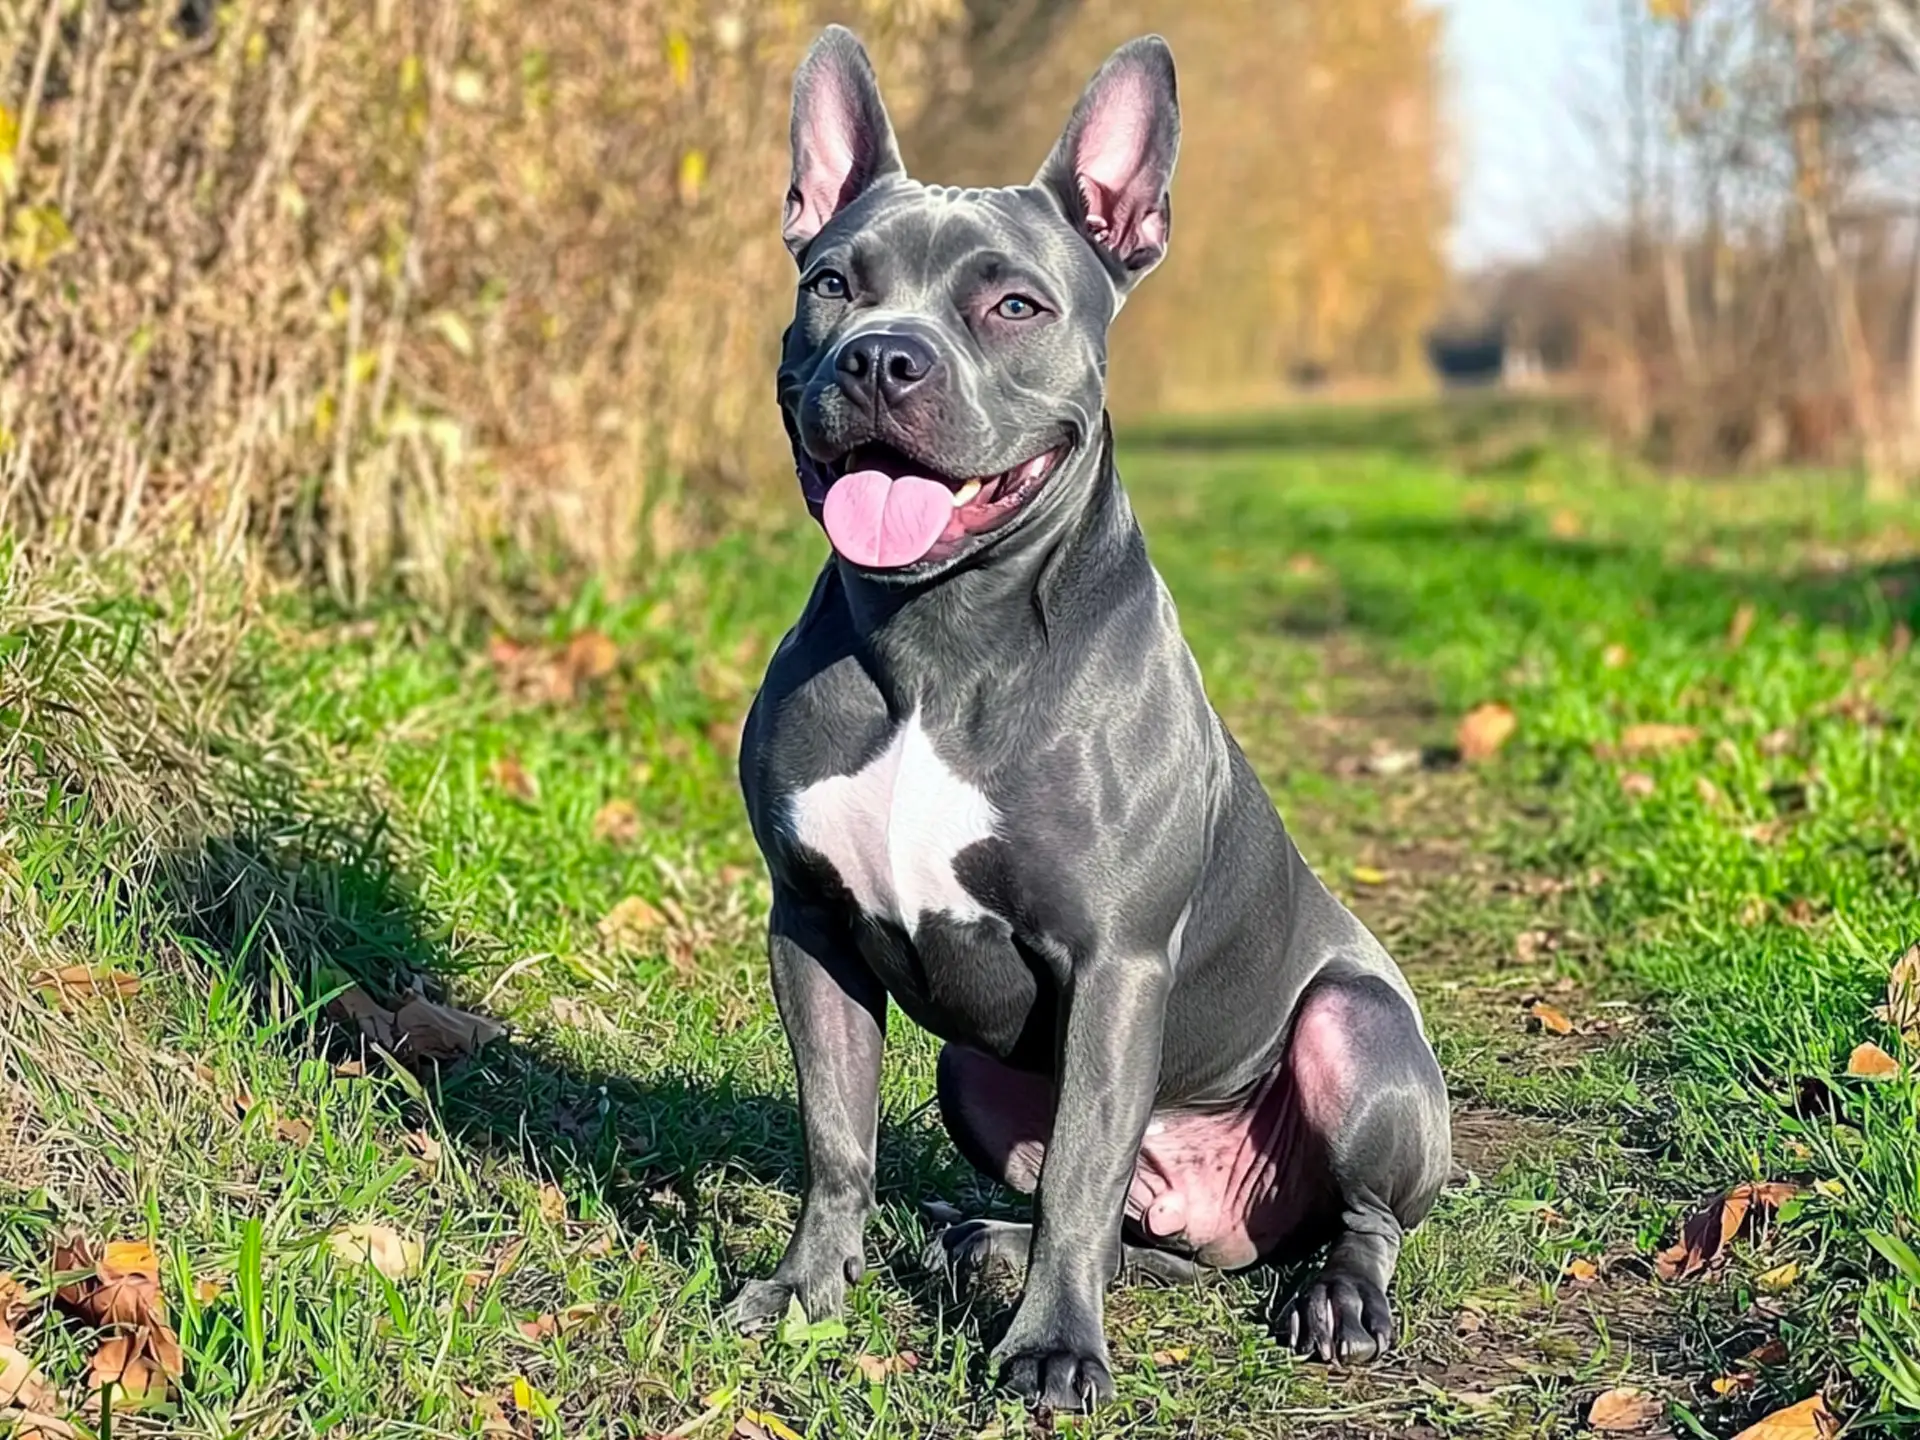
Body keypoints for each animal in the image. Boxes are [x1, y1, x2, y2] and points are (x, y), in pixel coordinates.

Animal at [725, 25, 1443, 1420]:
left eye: (1013, 306)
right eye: (834, 283)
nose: (880, 356)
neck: (940, 639)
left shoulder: (1116, 963)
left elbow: (1078, 1171)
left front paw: (1054, 1351)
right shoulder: (811, 924)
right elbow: (837, 1135)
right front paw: (804, 1295)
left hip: (1357, 1032)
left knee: (1352, 1217)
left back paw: (1334, 1300)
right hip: (972, 1073)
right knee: (1118, 1225)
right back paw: (982, 1244)